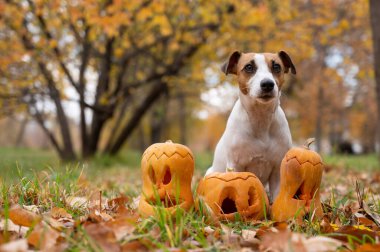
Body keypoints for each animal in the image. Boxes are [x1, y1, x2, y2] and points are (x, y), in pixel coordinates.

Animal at [206, 50, 296, 201]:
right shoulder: (235, 165)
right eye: (249, 67)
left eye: (276, 66)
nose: (267, 84)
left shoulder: (277, 169)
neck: (260, 119)